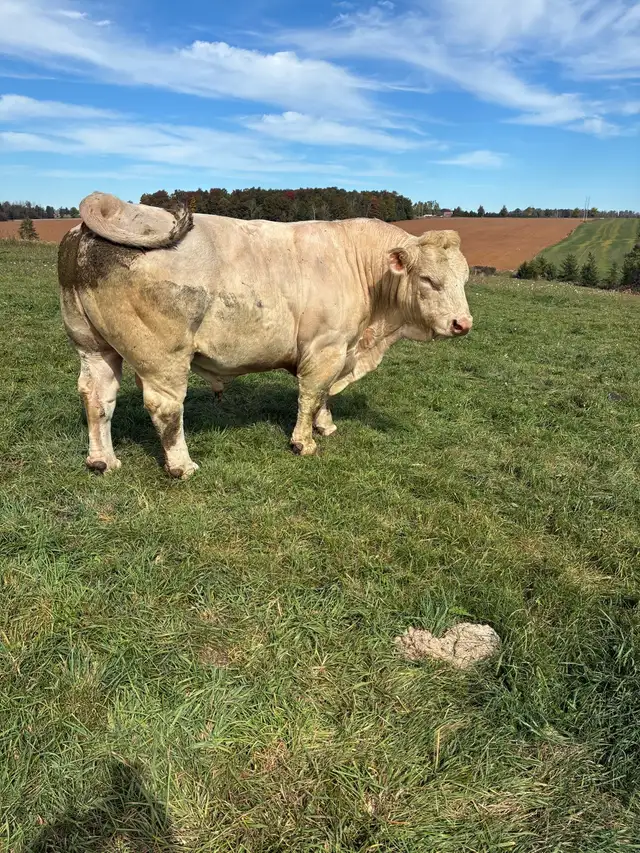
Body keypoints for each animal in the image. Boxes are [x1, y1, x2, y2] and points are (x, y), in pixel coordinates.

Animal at [58, 192, 473, 478]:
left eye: (464, 279)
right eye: (428, 280)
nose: (463, 324)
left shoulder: (338, 349)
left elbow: (323, 395)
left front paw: (326, 425)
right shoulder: (326, 347)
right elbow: (311, 395)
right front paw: (304, 442)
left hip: (92, 346)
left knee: (97, 396)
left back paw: (103, 461)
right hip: (163, 355)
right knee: (165, 407)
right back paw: (182, 466)